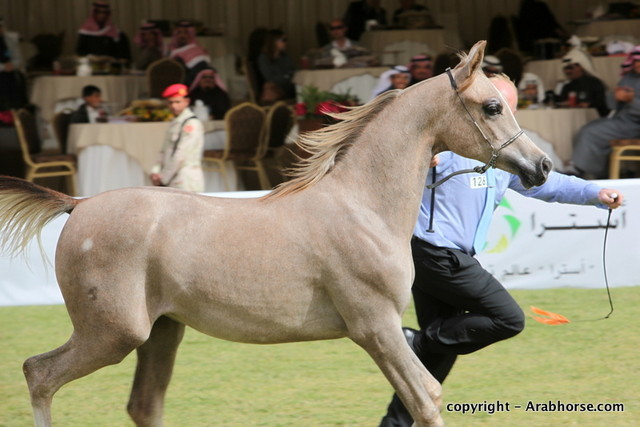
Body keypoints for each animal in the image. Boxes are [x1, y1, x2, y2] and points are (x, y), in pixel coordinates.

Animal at [0, 41, 551, 427]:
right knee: (39, 374)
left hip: (161, 332)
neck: (363, 207)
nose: (542, 166)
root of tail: (78, 204)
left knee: (143, 406)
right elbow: (427, 399)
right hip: (112, 333)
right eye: (492, 107)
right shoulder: (376, 327)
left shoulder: (382, 330)